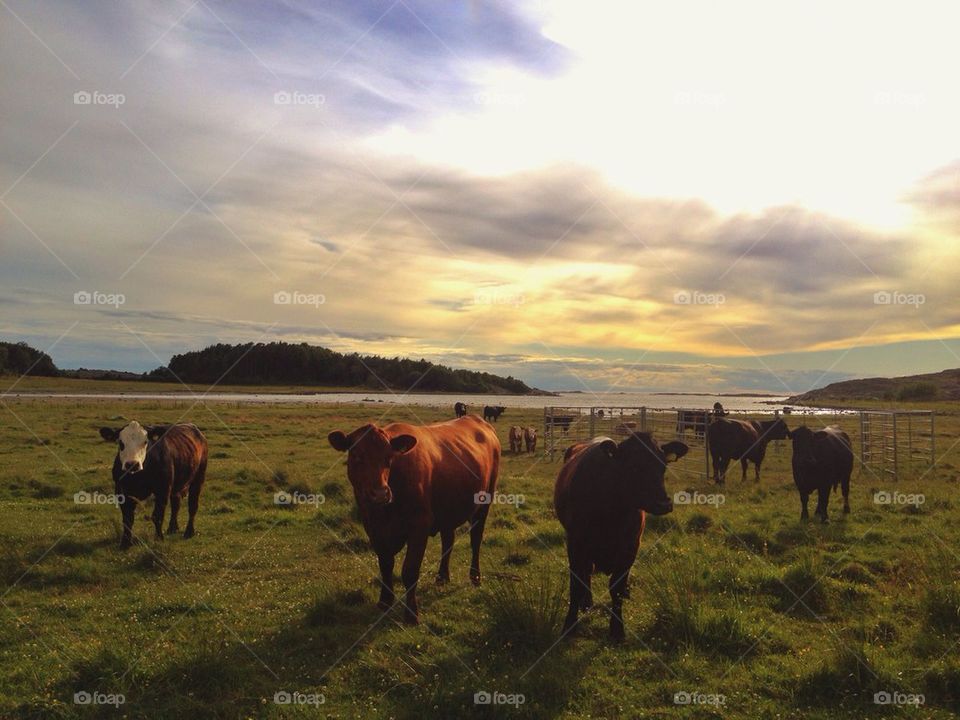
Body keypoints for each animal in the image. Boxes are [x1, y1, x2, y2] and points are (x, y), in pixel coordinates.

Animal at [98, 420, 208, 548]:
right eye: (121, 442)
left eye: (145, 442)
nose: (132, 464)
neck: (138, 476)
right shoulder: (121, 492)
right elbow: (127, 519)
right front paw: (125, 543)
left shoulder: (163, 490)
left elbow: (157, 516)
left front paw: (159, 538)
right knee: (176, 504)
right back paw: (172, 528)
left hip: (198, 478)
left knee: (192, 506)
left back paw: (189, 532)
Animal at [328, 416, 498, 624]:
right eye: (356, 456)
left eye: (389, 458)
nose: (380, 493)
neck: (384, 512)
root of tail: (476, 419)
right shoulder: (373, 528)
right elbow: (385, 565)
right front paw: (385, 601)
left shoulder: (419, 526)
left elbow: (410, 570)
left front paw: (411, 613)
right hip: (447, 511)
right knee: (447, 542)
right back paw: (442, 577)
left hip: (484, 503)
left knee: (475, 540)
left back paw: (475, 577)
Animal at [552, 430, 688, 640]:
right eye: (633, 466)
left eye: (663, 465)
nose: (663, 503)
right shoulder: (575, 543)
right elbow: (576, 584)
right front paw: (569, 625)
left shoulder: (631, 546)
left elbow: (616, 588)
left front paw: (617, 629)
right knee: (586, 573)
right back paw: (586, 602)